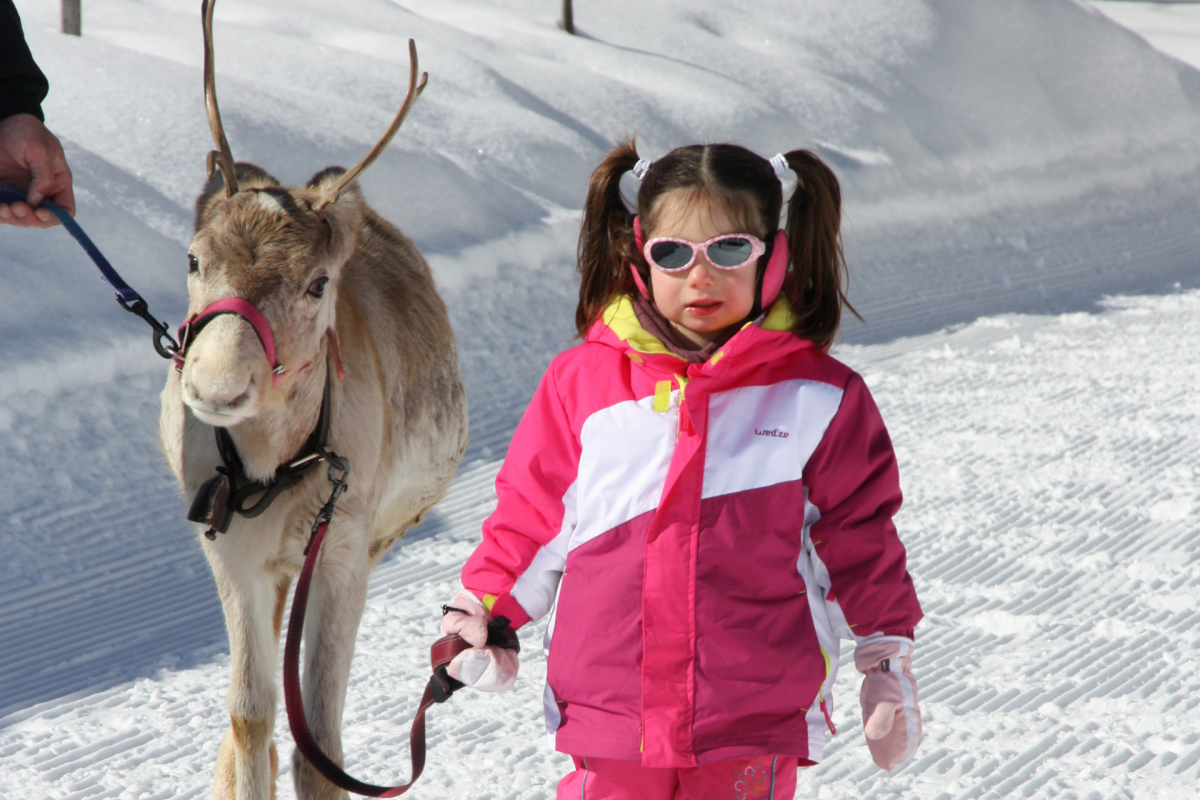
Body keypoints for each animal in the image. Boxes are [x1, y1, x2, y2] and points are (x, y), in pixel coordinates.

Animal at [158, 3, 468, 799]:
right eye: (193, 258)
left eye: (317, 282)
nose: (213, 387)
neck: (270, 470)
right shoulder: (227, 546)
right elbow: (252, 715)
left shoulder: (345, 544)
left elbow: (319, 743)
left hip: (373, 539)